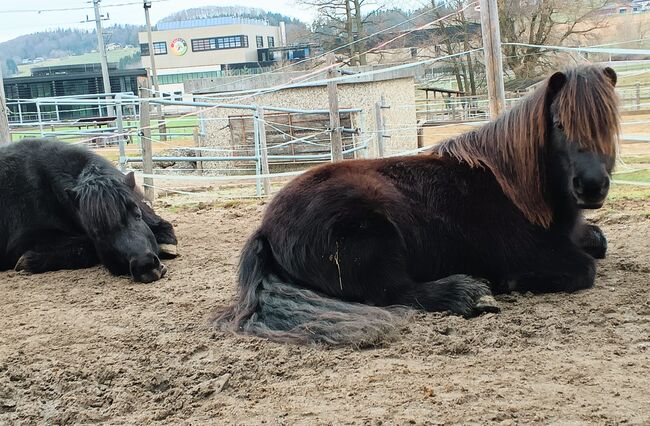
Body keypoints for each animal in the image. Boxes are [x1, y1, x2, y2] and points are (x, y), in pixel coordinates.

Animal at [214, 65, 616, 348]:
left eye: (609, 124)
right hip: (373, 239)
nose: (591, 186)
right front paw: (512, 281)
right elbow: (586, 269)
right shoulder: (535, 251)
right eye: (559, 124)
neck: (512, 186)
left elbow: (598, 241)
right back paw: (468, 293)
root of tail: (265, 228)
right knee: (391, 292)